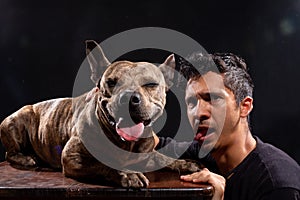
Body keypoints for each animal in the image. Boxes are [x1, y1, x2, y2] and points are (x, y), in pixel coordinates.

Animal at [1, 40, 200, 188]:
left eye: (150, 84)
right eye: (112, 82)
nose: (128, 97)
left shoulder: (147, 154)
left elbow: (164, 158)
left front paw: (185, 163)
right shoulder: (72, 157)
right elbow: (103, 164)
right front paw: (129, 175)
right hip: (17, 120)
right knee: (10, 153)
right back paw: (26, 158)